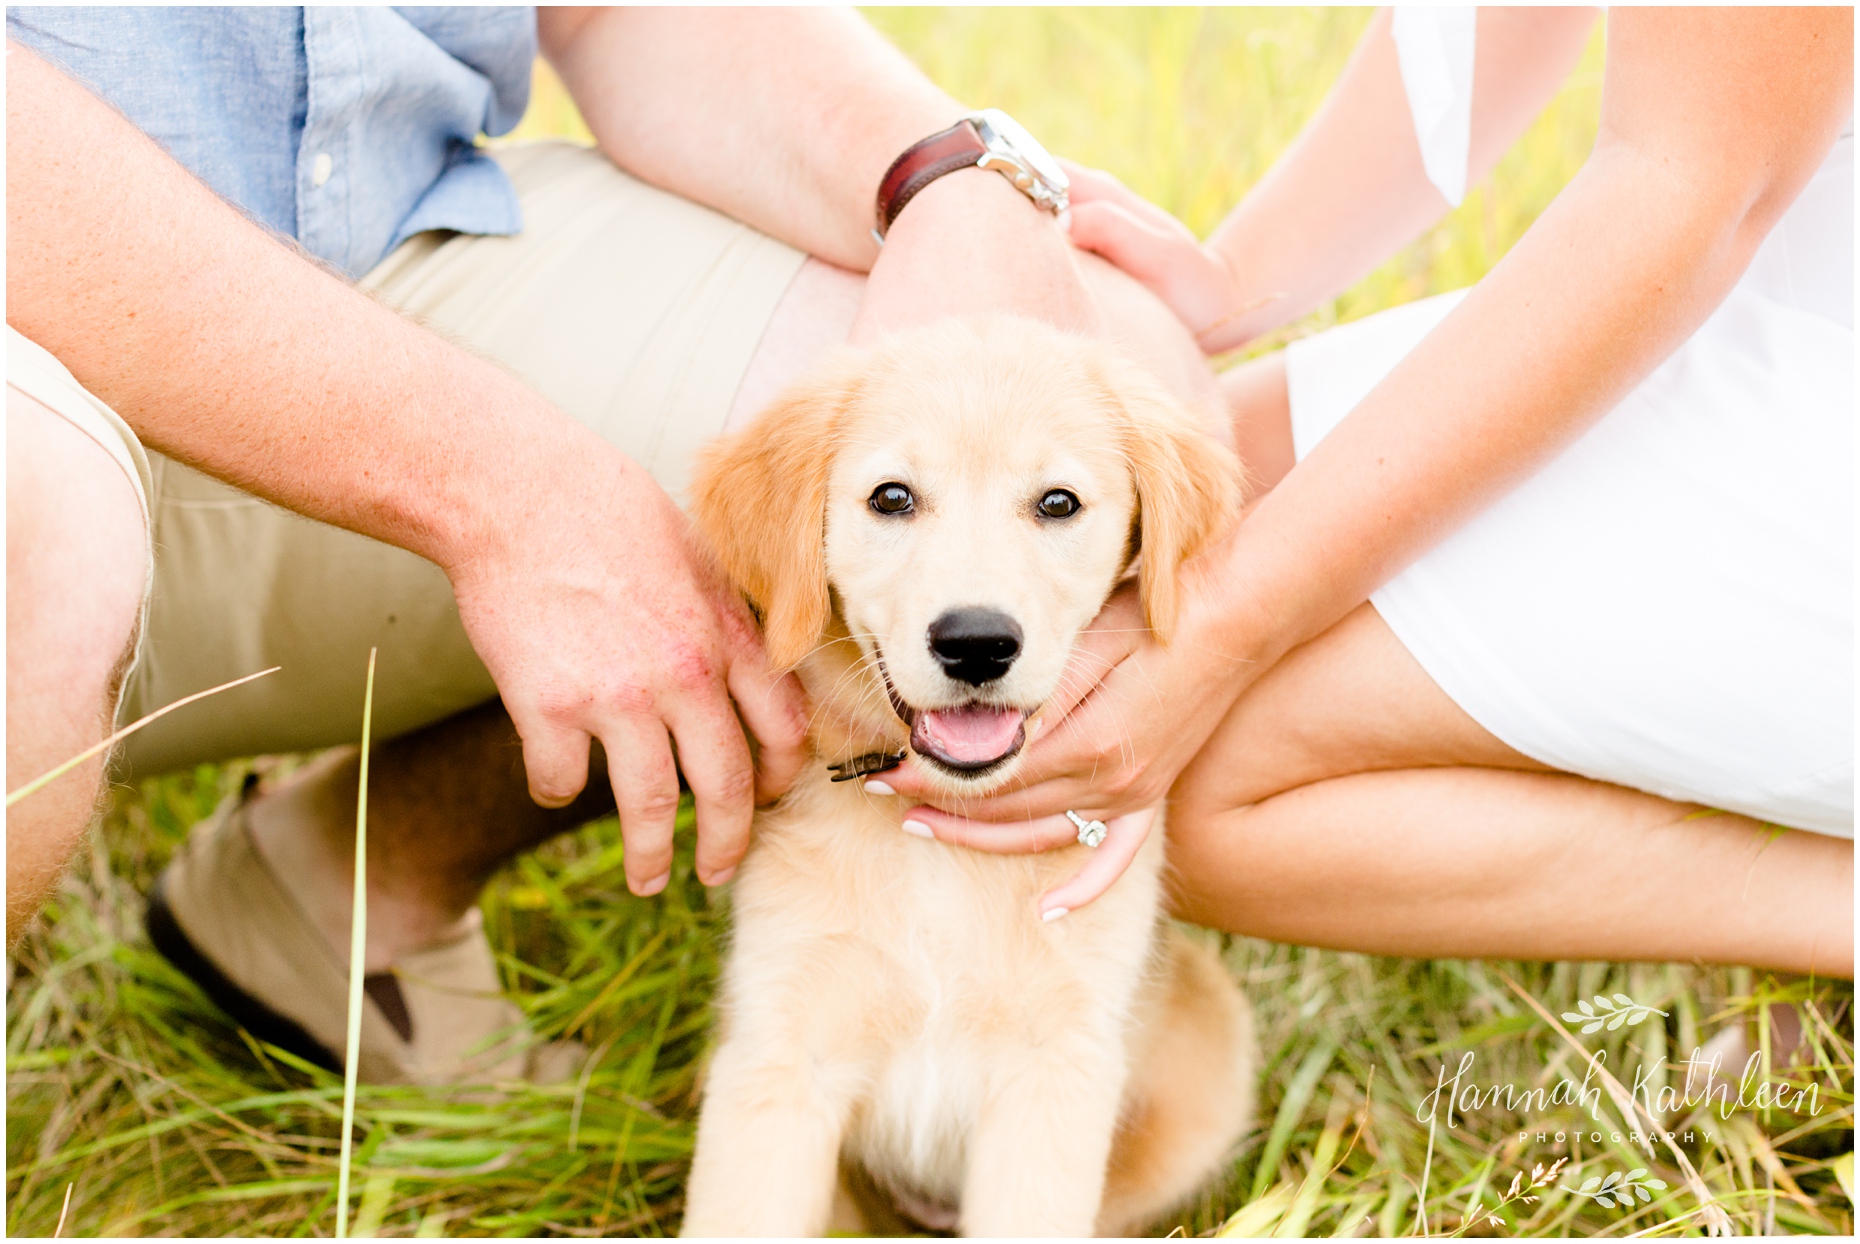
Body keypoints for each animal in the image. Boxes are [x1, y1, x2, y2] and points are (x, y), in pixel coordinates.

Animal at [680, 317, 1249, 1234]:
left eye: (1057, 503)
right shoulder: (776, 1053)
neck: (942, 847)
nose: (977, 643)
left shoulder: (1057, 1071)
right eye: (891, 498)